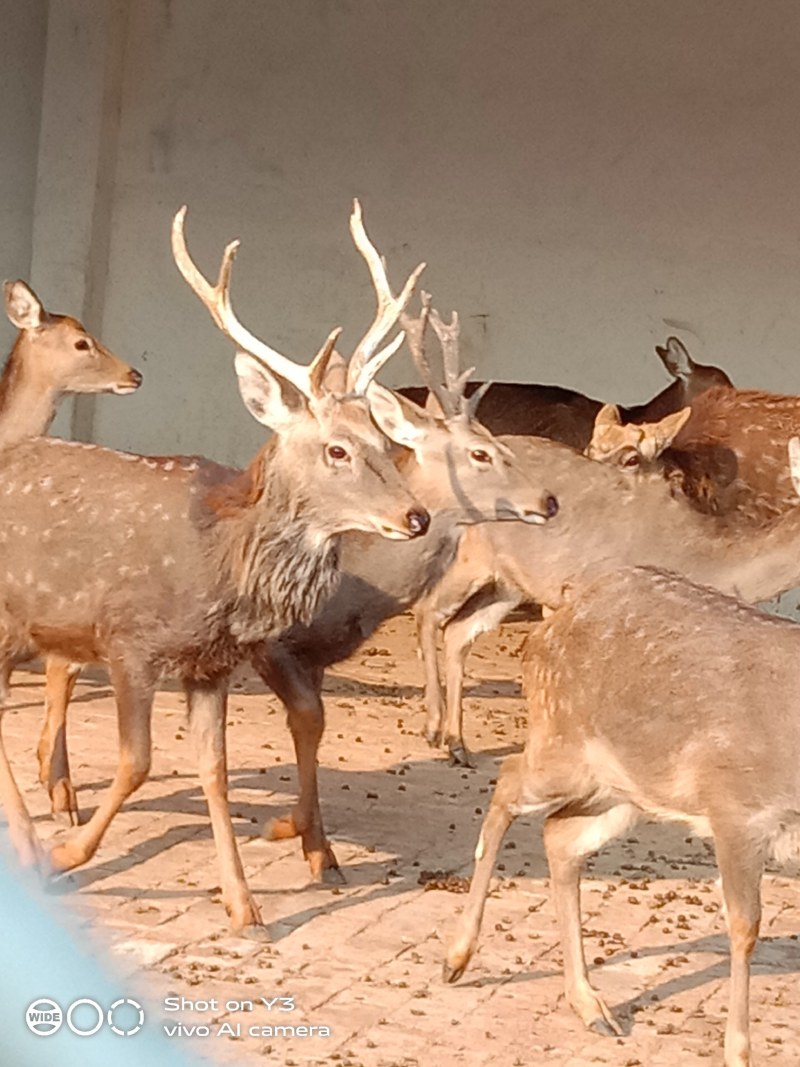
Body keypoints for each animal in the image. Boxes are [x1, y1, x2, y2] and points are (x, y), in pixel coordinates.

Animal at [445, 560, 800, 1067]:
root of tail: (550, 625)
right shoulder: (736, 809)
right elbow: (744, 924)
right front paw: (737, 1052)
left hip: (624, 790)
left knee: (560, 835)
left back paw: (591, 1006)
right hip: (562, 746)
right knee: (509, 783)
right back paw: (456, 959)